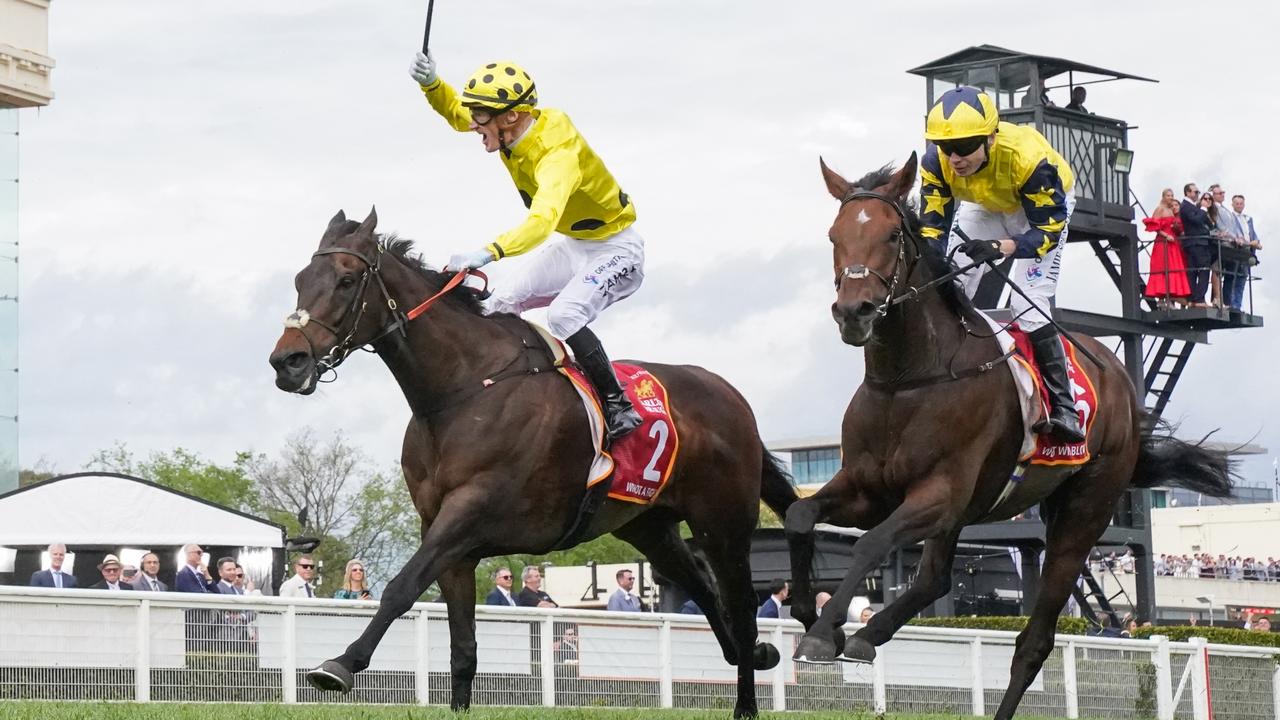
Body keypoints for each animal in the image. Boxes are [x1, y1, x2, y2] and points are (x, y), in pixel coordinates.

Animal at [268, 204, 793, 712]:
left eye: (346, 279)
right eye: (299, 280)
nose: (286, 362)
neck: (463, 389)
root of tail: (731, 397)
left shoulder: (468, 513)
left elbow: (402, 586)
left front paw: (340, 664)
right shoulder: (447, 535)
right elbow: (463, 648)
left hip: (723, 522)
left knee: (742, 607)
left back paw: (747, 701)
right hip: (649, 526)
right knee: (703, 589)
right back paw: (752, 655)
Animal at [783, 156, 1233, 717]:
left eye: (890, 235)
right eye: (834, 236)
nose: (854, 311)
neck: (909, 379)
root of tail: (1121, 384)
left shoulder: (939, 492)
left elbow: (871, 544)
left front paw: (824, 633)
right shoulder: (869, 489)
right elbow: (800, 515)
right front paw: (807, 610)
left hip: (1084, 511)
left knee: (1033, 640)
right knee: (934, 578)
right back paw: (870, 635)